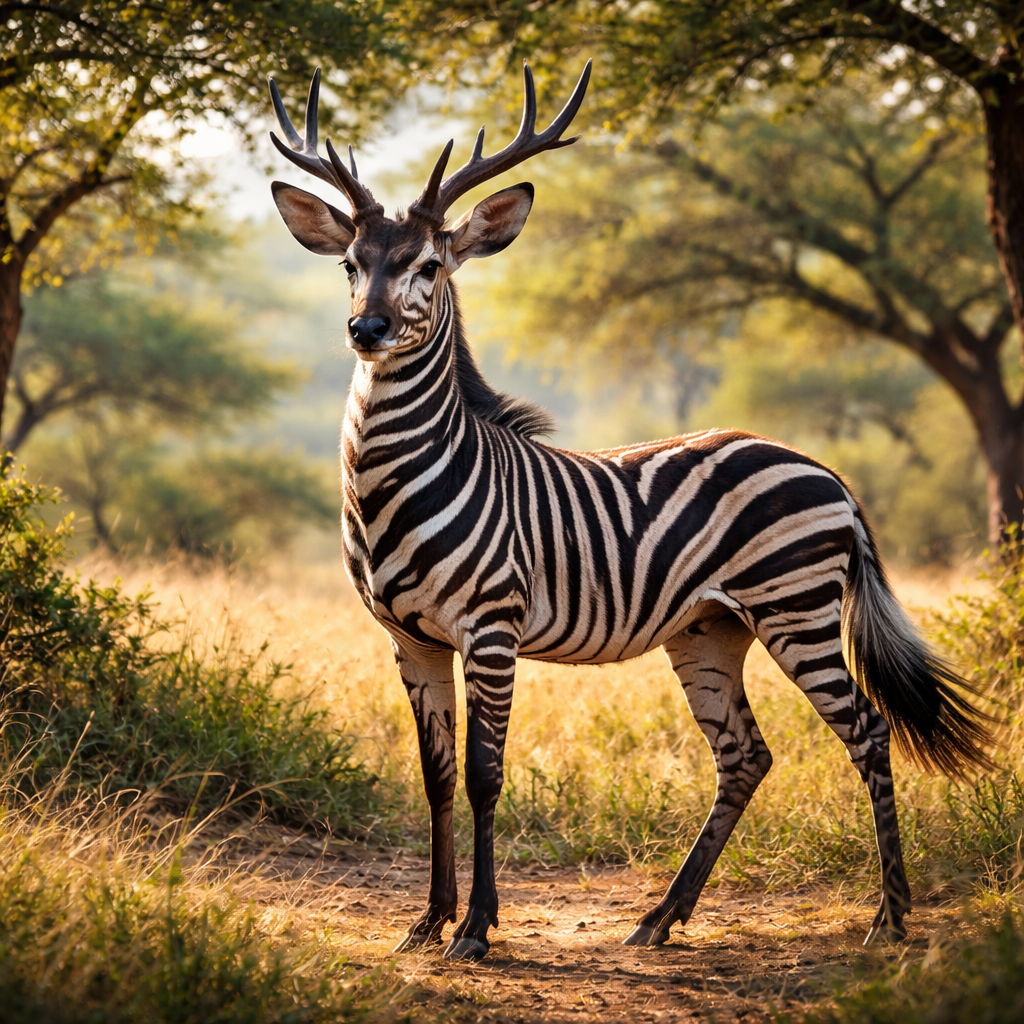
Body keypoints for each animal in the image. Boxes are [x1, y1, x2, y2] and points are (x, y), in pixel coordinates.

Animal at [267, 62, 992, 962]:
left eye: (429, 267)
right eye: (350, 264)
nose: (365, 329)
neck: (396, 485)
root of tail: (824, 469)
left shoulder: (490, 630)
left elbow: (483, 774)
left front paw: (474, 929)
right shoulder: (410, 640)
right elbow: (434, 776)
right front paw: (426, 922)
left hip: (796, 610)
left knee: (867, 730)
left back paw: (888, 920)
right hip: (711, 630)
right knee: (745, 757)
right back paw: (660, 917)